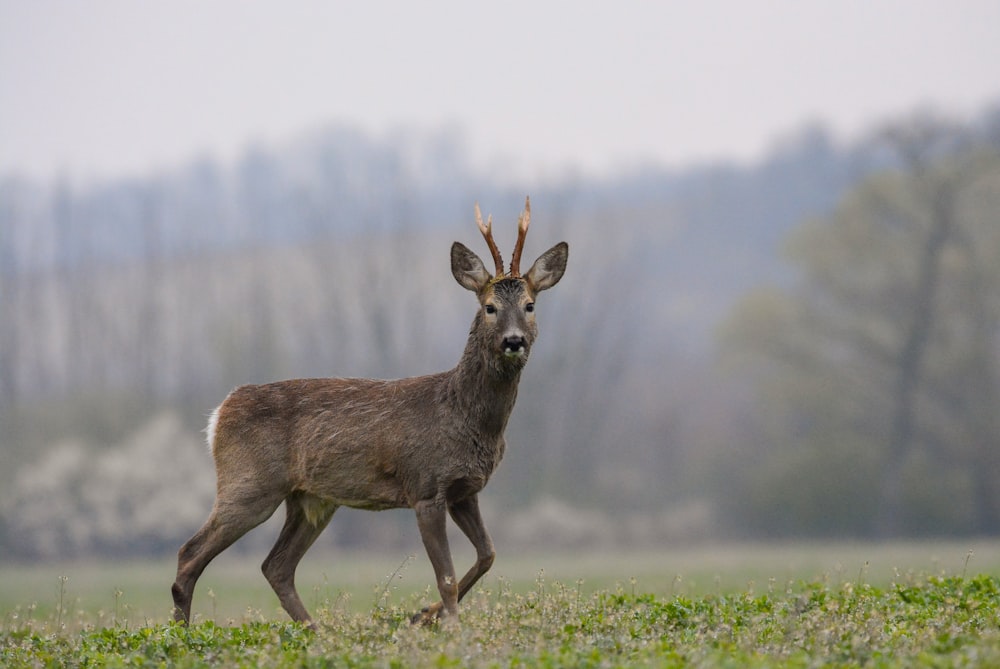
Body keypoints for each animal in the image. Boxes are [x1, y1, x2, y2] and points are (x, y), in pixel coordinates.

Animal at [170, 197, 564, 628]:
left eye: (529, 305)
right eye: (490, 307)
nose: (514, 341)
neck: (467, 418)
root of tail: (218, 414)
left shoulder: (465, 489)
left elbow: (487, 554)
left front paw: (423, 615)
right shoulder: (425, 486)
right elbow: (446, 577)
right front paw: (449, 625)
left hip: (310, 499)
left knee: (275, 566)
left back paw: (314, 630)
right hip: (249, 484)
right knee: (190, 553)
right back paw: (182, 631)